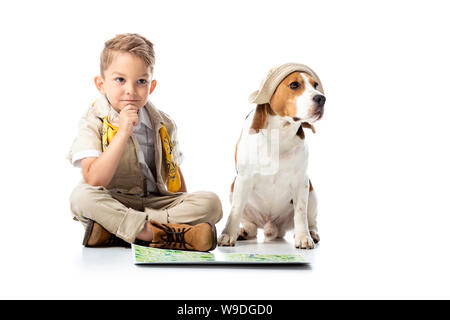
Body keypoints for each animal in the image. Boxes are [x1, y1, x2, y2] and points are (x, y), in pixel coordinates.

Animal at [217, 69, 326, 249]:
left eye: (315, 85)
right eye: (294, 85)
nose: (321, 98)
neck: (280, 135)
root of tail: (271, 226)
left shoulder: (301, 181)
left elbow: (300, 213)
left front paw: (303, 237)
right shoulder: (244, 179)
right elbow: (236, 209)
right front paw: (227, 235)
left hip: (311, 192)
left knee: (311, 220)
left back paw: (312, 233)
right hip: (233, 187)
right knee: (251, 226)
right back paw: (243, 231)